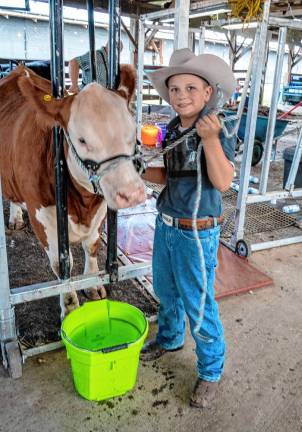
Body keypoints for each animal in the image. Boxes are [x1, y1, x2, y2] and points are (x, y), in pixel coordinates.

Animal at [0, 65, 146, 310]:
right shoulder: (43, 218)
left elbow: (92, 246)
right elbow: (62, 266)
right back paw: (15, 218)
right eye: (82, 140)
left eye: (132, 133)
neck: (83, 205)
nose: (132, 194)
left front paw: (93, 285)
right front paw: (69, 306)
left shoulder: (101, 207)